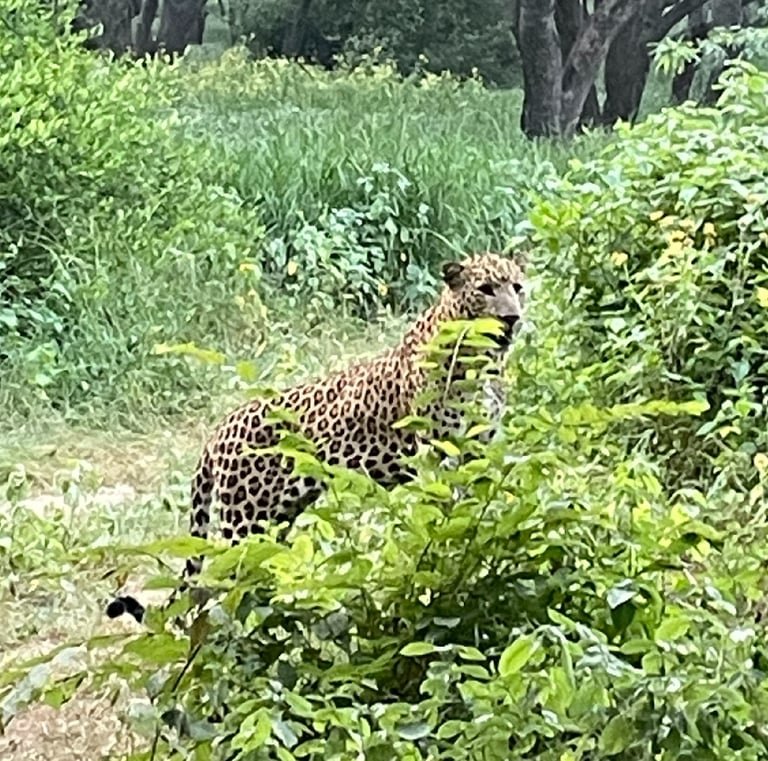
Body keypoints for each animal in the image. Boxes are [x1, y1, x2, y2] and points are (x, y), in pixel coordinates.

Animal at [107, 251, 527, 623]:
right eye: (486, 289)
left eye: (518, 287)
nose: (512, 318)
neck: (483, 361)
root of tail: (218, 430)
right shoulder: (435, 454)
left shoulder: (476, 449)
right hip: (243, 524)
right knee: (218, 585)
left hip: (275, 521)